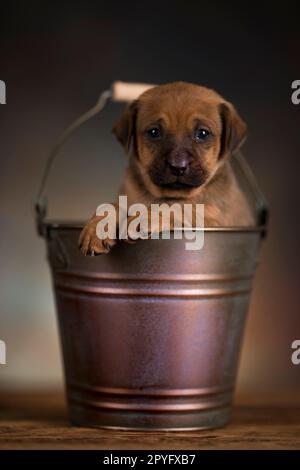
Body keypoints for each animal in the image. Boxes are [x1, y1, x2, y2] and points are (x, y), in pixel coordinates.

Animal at [78, 82, 254, 255]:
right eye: (154, 132)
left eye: (203, 133)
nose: (178, 166)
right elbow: (112, 205)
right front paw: (97, 227)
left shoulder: (216, 218)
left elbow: (179, 207)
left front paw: (146, 216)